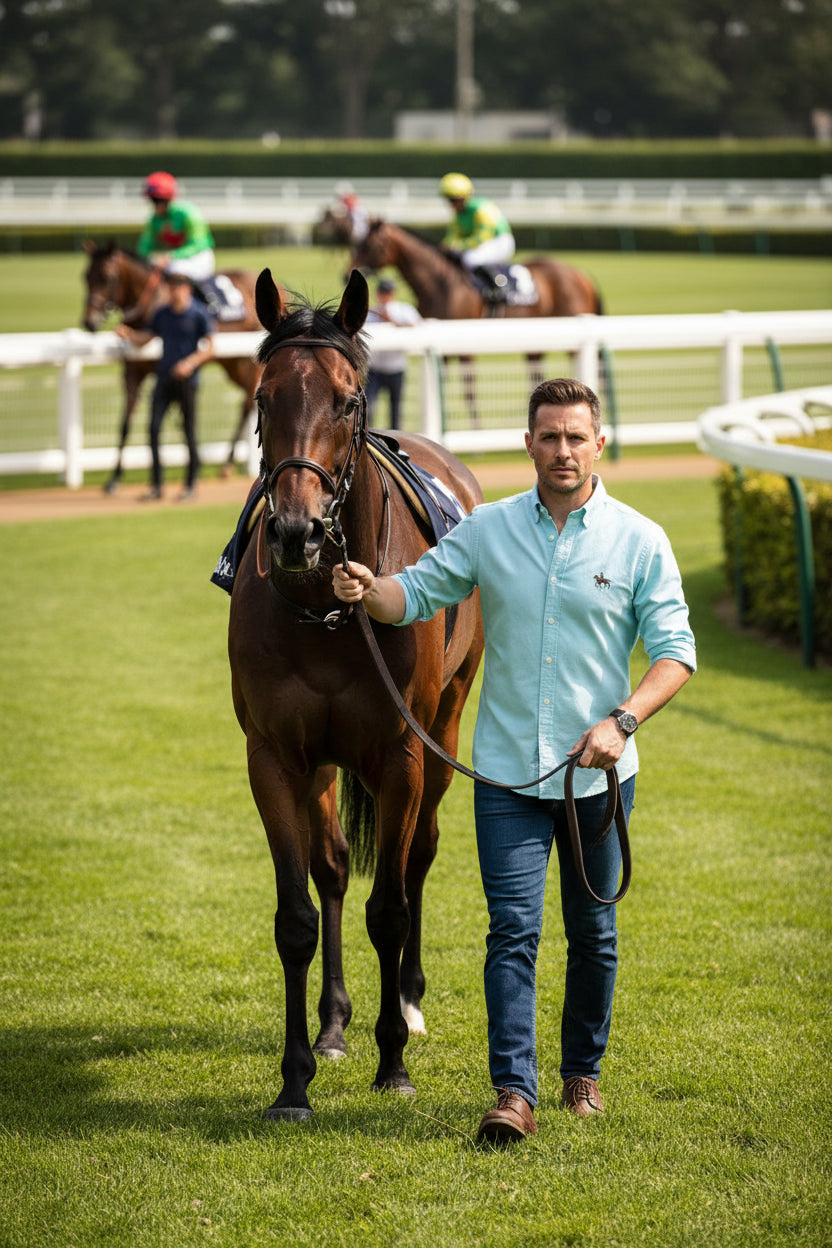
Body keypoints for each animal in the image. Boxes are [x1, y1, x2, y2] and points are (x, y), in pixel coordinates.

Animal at [81, 241, 266, 491]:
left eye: (107, 277)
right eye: (85, 276)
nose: (88, 322)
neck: (150, 306)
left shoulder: (167, 372)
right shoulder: (132, 373)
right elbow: (126, 424)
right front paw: (114, 478)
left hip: (249, 363)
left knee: (247, 404)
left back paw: (226, 465)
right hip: (232, 365)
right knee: (245, 403)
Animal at [228, 267, 484, 1120]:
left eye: (346, 399)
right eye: (265, 396)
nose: (296, 532)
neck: (330, 611)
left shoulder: (401, 752)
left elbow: (391, 907)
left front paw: (393, 1062)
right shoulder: (276, 756)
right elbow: (298, 914)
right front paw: (296, 1078)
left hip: (445, 729)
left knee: (419, 857)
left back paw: (407, 999)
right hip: (323, 765)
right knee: (336, 867)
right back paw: (337, 1023)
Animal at [350, 219, 605, 423]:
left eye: (371, 246)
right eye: (357, 243)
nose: (347, 273)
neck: (441, 284)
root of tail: (582, 276)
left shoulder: (463, 345)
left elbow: (468, 388)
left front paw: (476, 427)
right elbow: (441, 384)